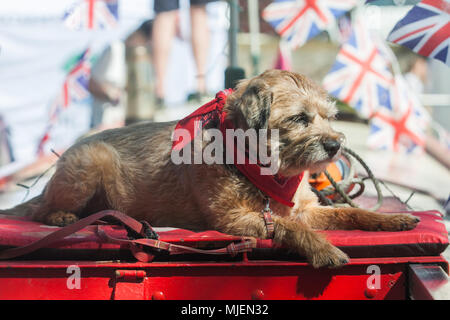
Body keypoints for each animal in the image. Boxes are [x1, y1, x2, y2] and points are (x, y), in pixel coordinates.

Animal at [1, 69, 420, 268]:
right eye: (300, 119)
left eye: (329, 117)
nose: (335, 145)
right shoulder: (235, 220)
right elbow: (292, 227)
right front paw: (322, 248)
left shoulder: (305, 209)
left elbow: (348, 212)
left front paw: (390, 220)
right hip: (92, 159)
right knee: (42, 208)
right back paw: (60, 215)